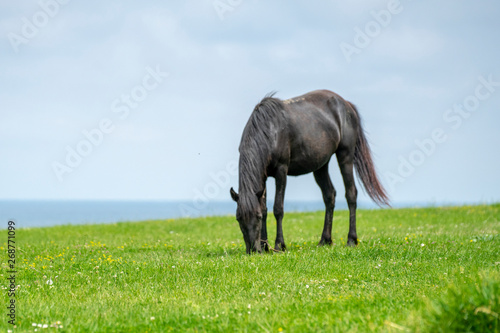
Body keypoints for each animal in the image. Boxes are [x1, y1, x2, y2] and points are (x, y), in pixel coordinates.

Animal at [230, 89, 390, 253]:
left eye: (257, 217)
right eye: (238, 218)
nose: (253, 250)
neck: (270, 130)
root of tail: (346, 104)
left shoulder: (281, 171)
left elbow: (278, 208)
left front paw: (279, 245)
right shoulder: (263, 176)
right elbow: (264, 208)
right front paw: (265, 246)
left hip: (345, 156)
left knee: (351, 194)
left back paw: (351, 240)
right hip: (320, 166)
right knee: (329, 195)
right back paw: (325, 240)